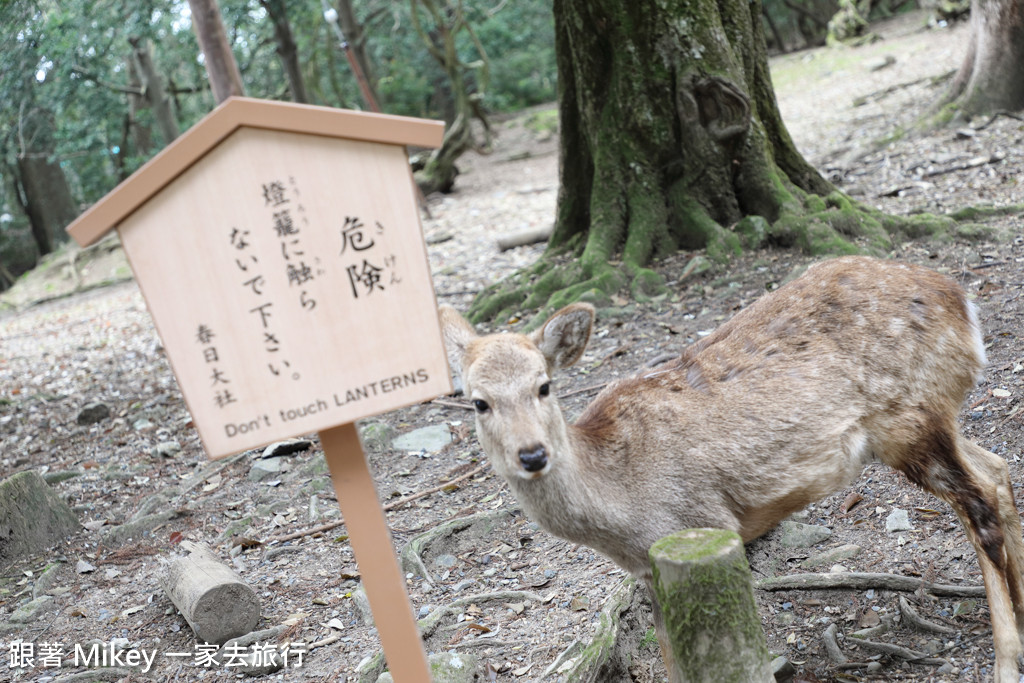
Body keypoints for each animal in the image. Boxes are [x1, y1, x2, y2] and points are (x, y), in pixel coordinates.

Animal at [442, 258, 1024, 683]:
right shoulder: (651, 567)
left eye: (543, 385)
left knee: (979, 504)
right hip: (932, 414)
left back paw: (1005, 661)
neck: (622, 515)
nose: (532, 454)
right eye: (478, 401)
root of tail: (961, 303)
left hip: (909, 416)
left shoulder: (708, 524)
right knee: (998, 470)